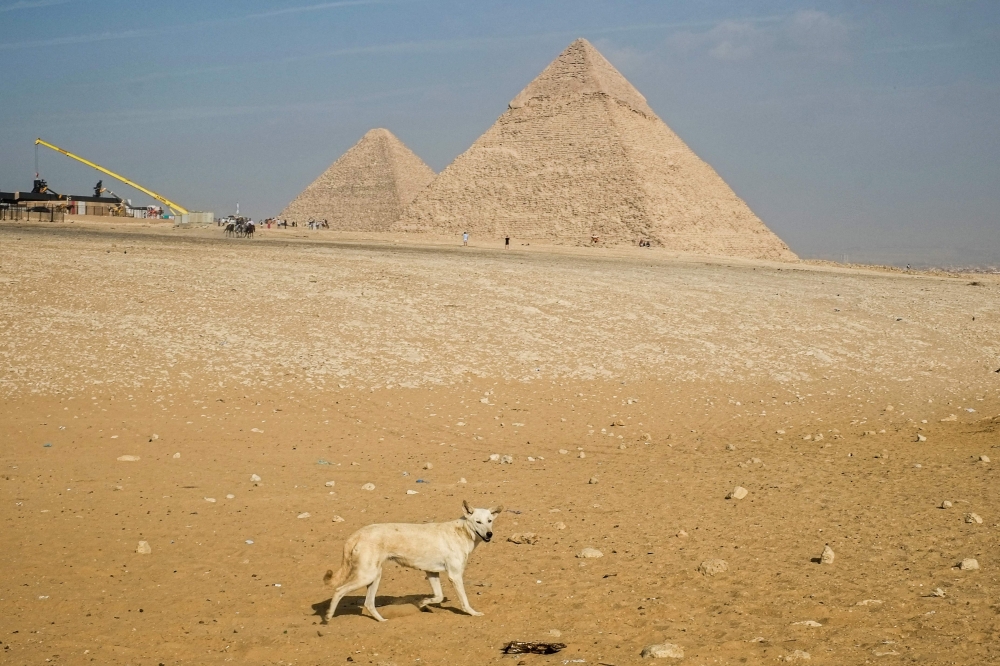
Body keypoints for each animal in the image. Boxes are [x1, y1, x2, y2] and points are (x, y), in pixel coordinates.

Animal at [324, 500, 504, 620]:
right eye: (478, 522)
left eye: (490, 521)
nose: (489, 534)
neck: (462, 532)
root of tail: (357, 534)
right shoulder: (455, 575)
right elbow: (464, 601)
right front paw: (473, 613)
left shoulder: (431, 572)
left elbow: (438, 596)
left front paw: (424, 603)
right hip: (366, 575)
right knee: (339, 590)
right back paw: (328, 616)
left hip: (375, 575)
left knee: (368, 603)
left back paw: (382, 620)